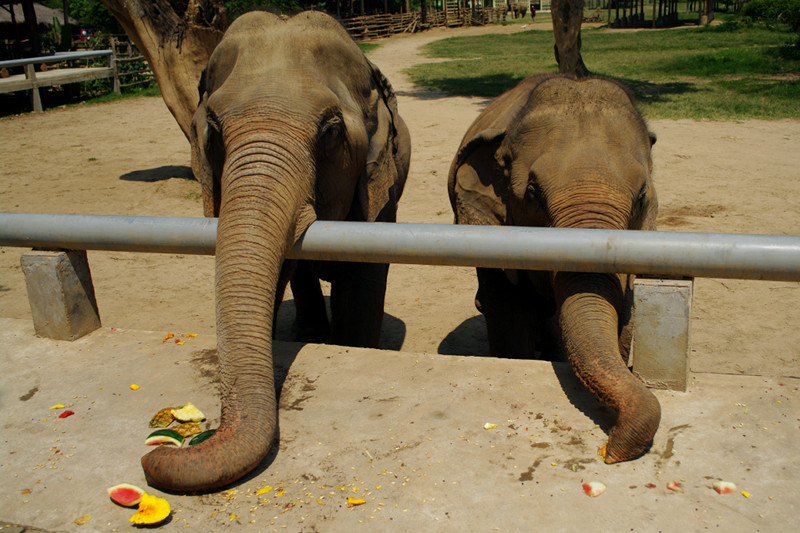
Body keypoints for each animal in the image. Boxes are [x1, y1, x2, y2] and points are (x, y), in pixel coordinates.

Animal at [140, 9, 410, 490]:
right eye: (212, 132)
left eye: (331, 132)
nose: (154, 457)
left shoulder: (381, 192)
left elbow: (362, 280)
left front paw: (353, 345)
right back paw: (307, 333)